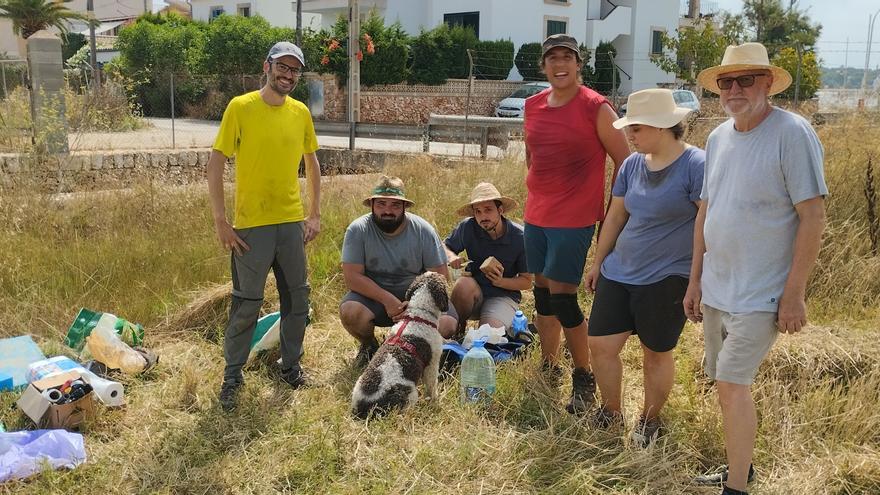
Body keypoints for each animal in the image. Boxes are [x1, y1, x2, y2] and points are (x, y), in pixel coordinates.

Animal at [348, 274, 446, 420]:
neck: (418, 316)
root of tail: (366, 408)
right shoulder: (432, 363)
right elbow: (431, 386)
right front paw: (434, 401)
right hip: (409, 393)